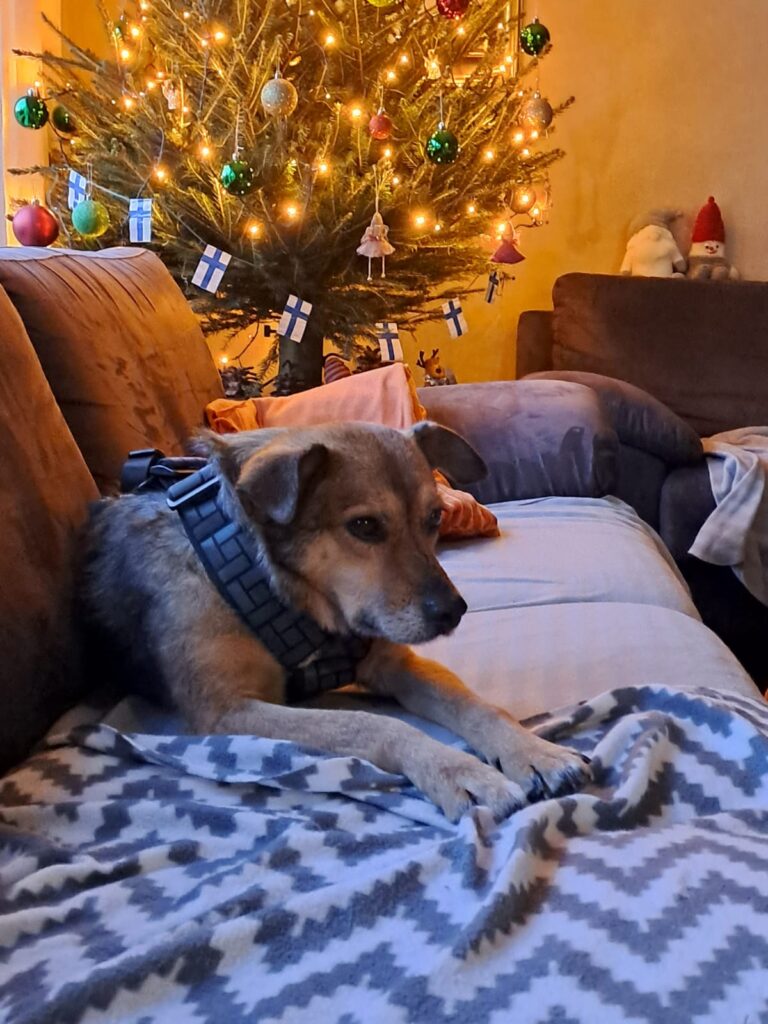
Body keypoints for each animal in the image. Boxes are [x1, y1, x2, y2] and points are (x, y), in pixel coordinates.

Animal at [83, 421, 590, 821]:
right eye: (364, 526)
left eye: (435, 517)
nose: (453, 612)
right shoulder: (226, 710)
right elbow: (375, 725)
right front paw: (460, 772)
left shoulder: (393, 662)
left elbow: (477, 706)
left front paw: (534, 751)